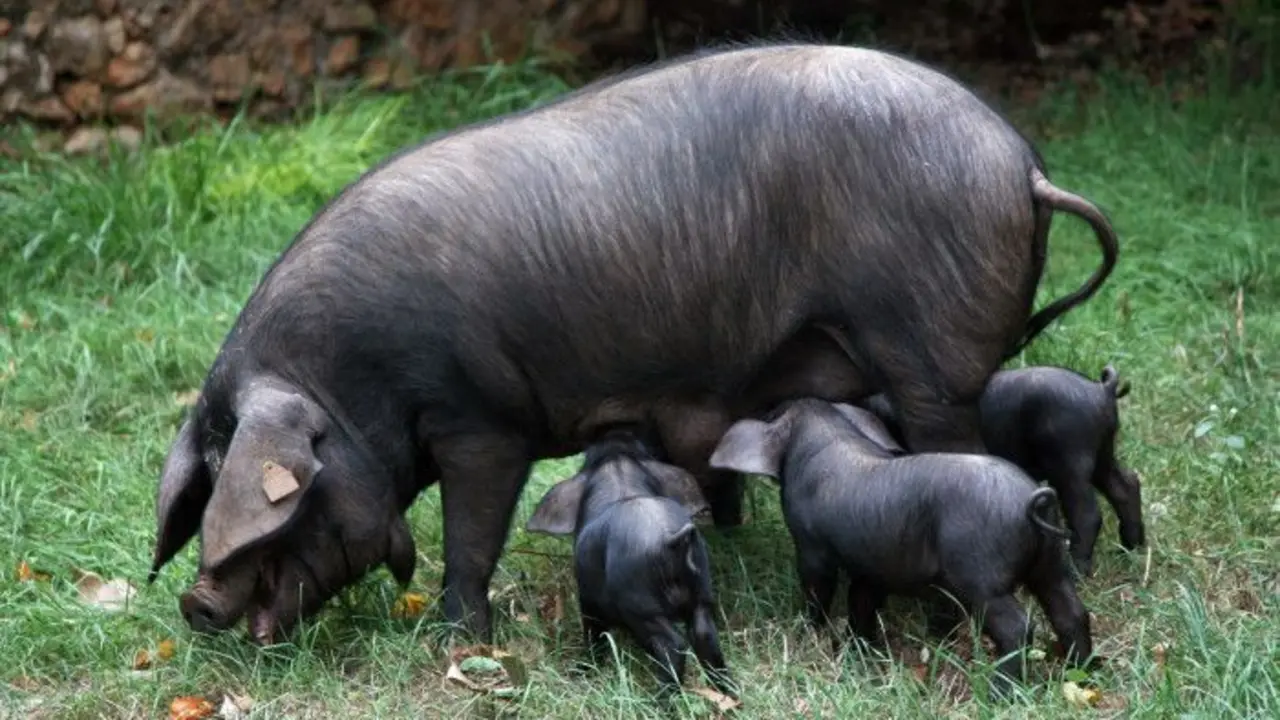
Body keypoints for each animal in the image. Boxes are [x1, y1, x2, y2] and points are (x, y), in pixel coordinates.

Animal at [525, 430, 734, 698]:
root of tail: (671, 539)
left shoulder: (588, 600)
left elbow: (594, 636)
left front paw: (582, 670)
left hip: (641, 606)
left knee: (673, 645)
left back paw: (660, 700)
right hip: (702, 593)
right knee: (704, 635)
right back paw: (727, 694)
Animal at [709, 398, 1093, 692]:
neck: (826, 433)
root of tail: (1031, 498)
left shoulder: (812, 547)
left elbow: (818, 589)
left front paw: (810, 632)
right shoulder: (874, 566)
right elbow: (861, 601)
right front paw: (859, 648)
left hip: (982, 576)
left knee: (1016, 627)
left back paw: (1001, 692)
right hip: (1050, 563)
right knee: (1071, 611)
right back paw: (1084, 673)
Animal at [860, 364, 1144, 576]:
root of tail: (1100, 389)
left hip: (1070, 458)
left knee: (1087, 513)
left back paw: (1077, 573)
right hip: (1102, 451)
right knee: (1126, 485)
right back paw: (1132, 549)